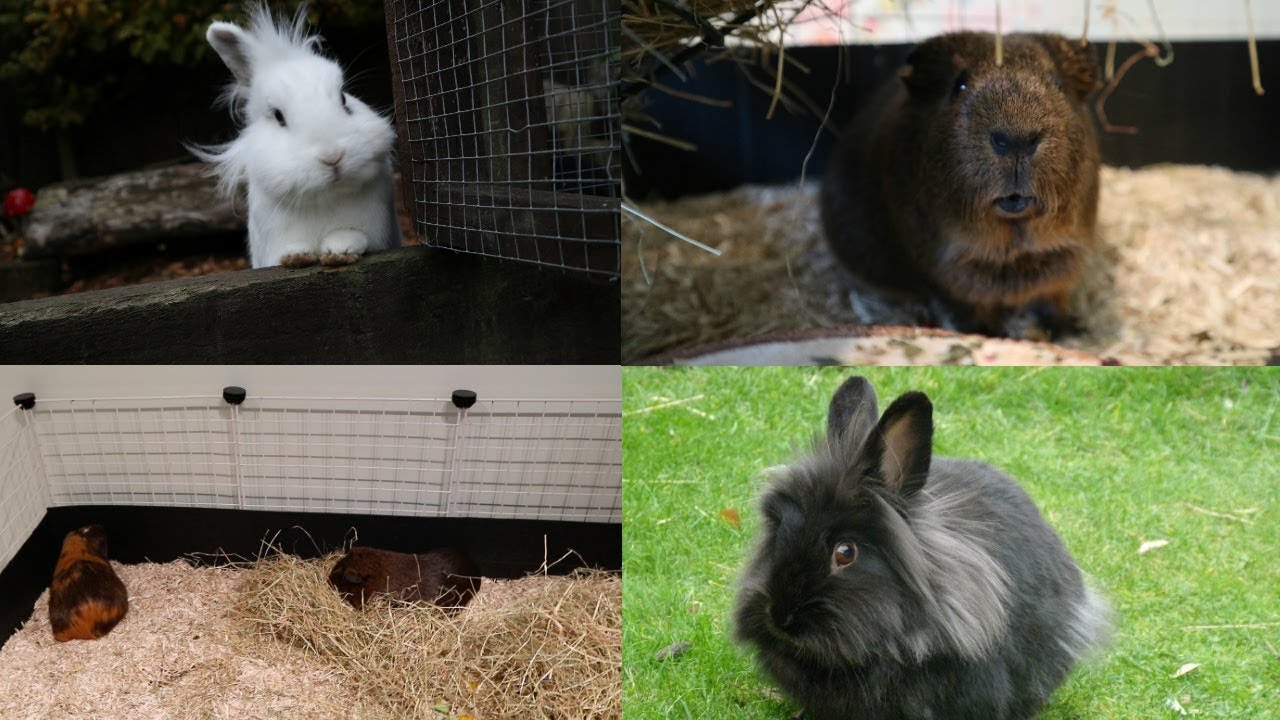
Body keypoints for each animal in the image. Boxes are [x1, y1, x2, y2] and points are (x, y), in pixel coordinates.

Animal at [190, 3, 401, 269]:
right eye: (278, 116)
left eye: (344, 99)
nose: (332, 156)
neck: (325, 199)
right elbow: (286, 252)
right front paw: (296, 255)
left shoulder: (378, 233)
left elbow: (355, 237)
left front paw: (339, 249)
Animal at [820, 33, 1100, 339]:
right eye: (959, 85)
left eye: (1058, 84)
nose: (1016, 139)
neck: (1013, 250)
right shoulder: (950, 275)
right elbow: (971, 308)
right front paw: (994, 335)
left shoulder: (1062, 264)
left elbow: (1052, 299)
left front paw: (1074, 330)